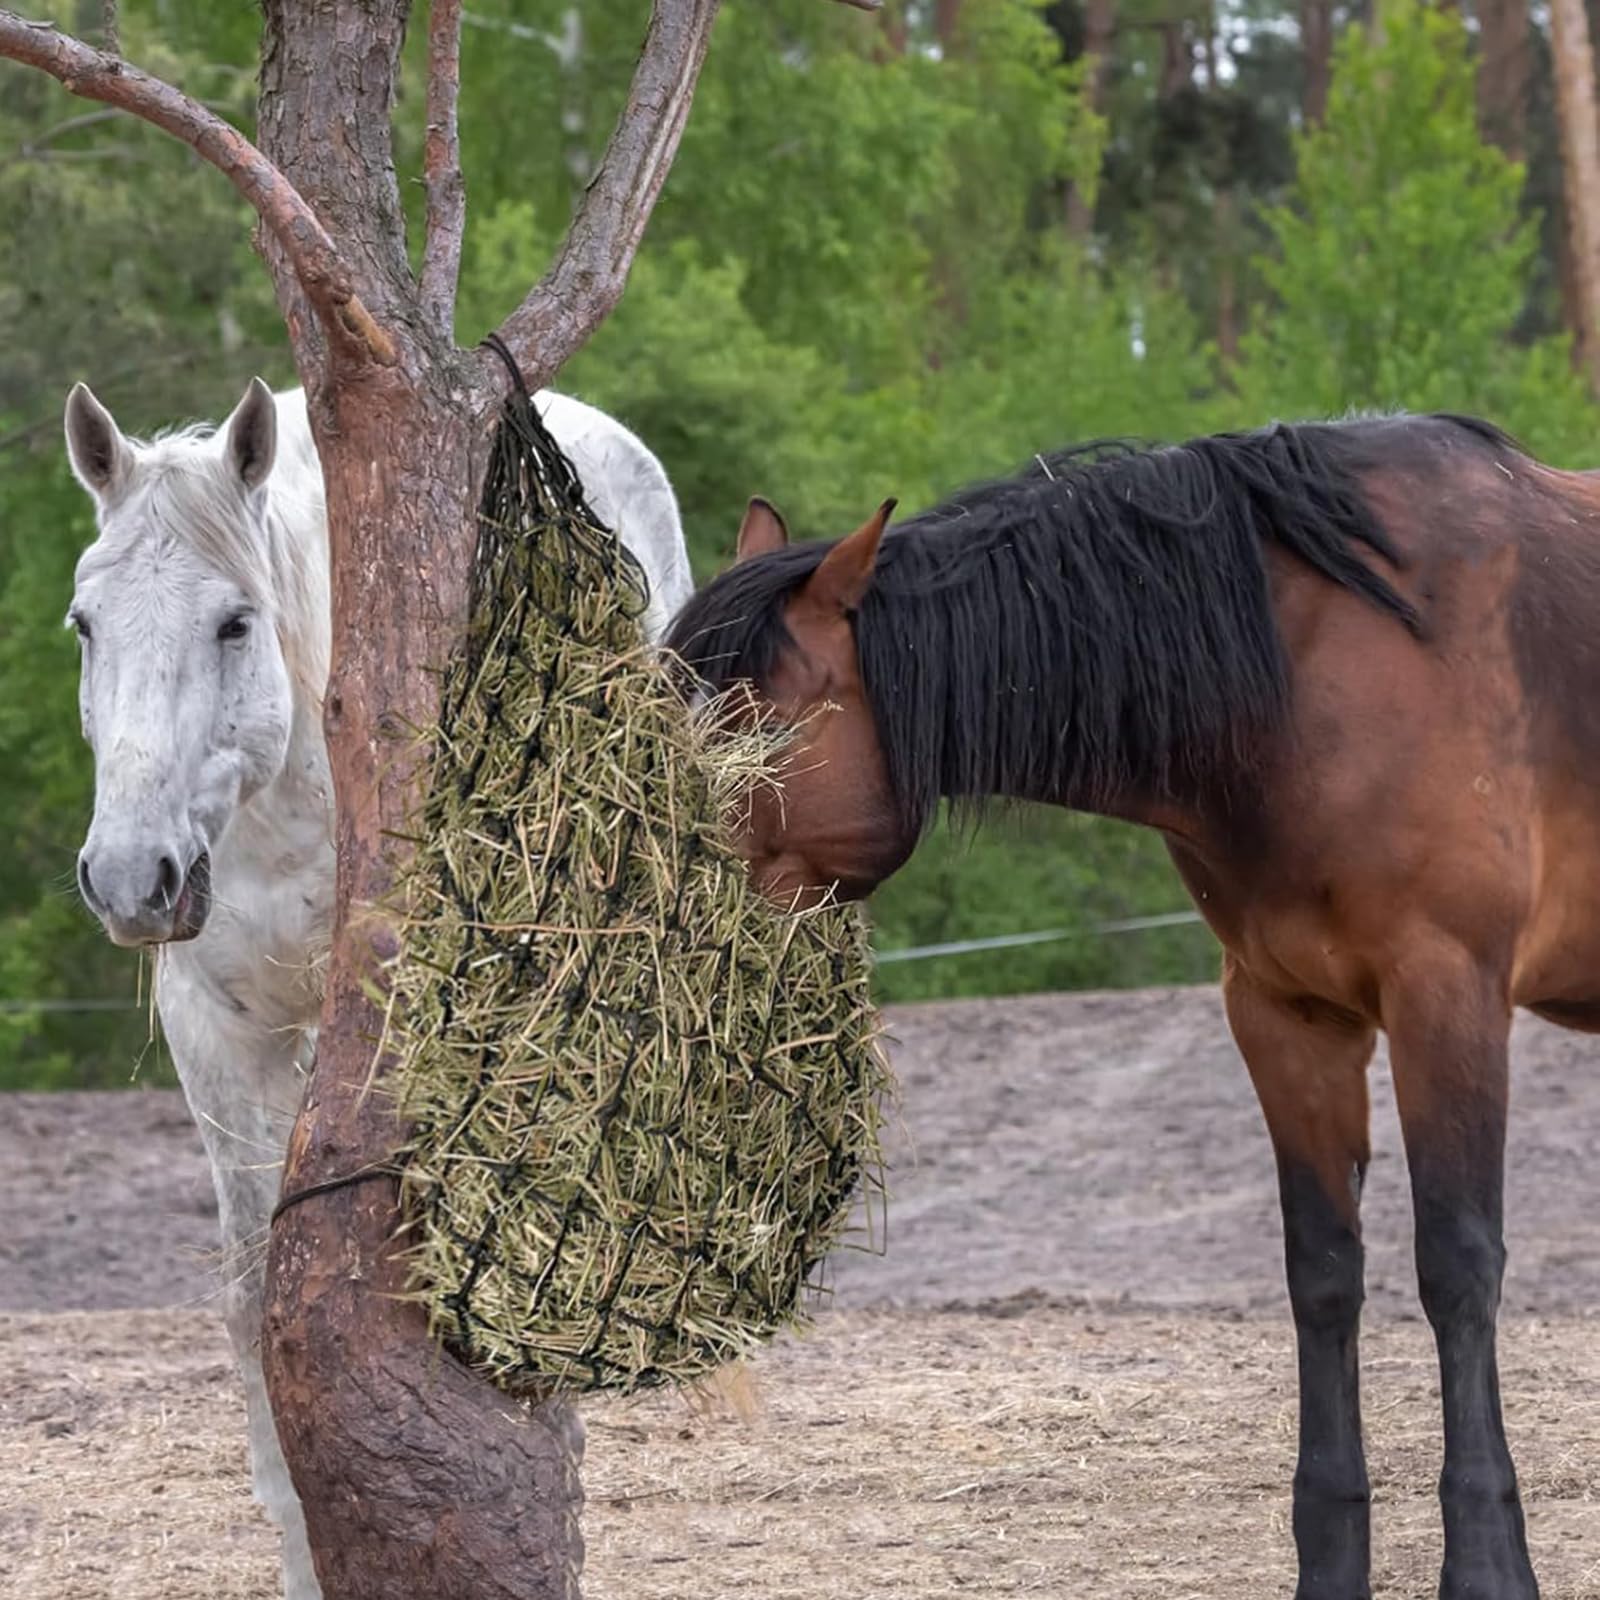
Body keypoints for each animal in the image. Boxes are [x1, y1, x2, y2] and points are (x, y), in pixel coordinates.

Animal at [665, 412, 1599, 1600]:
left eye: (754, 728)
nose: (660, 893)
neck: (1320, 668)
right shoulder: (1285, 1015)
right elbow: (1322, 1275)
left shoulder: (1450, 996)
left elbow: (1458, 1267)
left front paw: (1488, 1567)